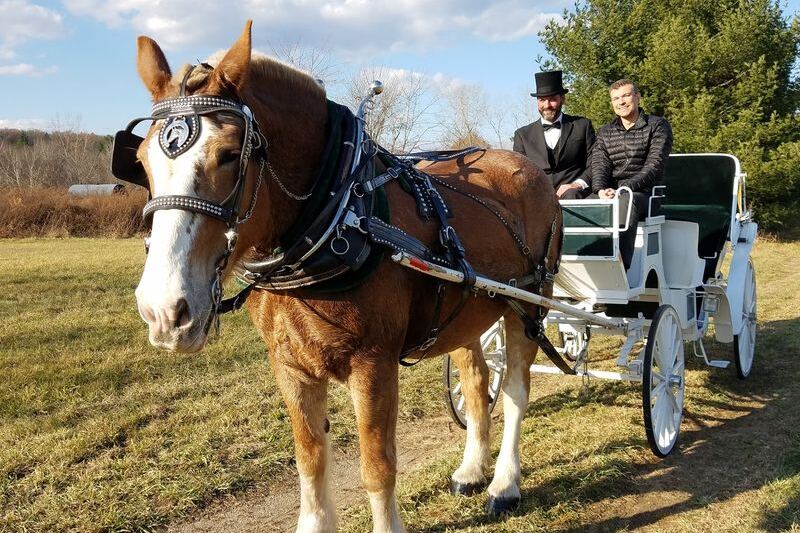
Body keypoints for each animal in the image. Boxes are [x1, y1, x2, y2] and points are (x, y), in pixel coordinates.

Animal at [125, 21, 562, 533]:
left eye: (230, 154)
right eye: (141, 160)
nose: (163, 311)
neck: (339, 213)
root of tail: (528, 169)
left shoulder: (373, 364)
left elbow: (377, 465)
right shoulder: (289, 366)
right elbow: (310, 459)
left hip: (530, 302)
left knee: (514, 390)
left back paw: (504, 483)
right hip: (468, 310)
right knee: (476, 383)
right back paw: (473, 469)